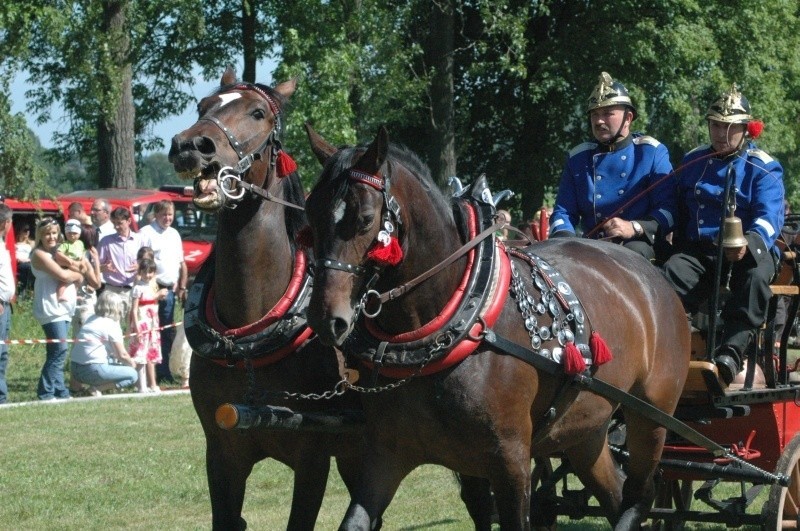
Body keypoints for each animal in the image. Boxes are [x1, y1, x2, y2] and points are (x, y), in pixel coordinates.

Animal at [167, 68, 364, 528]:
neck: (248, 341)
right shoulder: (222, 453)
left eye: (257, 113)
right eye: (203, 106)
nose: (191, 146)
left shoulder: (314, 459)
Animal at [304, 127, 692, 528]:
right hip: (587, 428)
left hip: (651, 417)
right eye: (309, 215)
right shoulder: (387, 455)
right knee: (614, 492)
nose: (325, 318)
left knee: (640, 494)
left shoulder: (511, 462)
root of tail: (650, 274)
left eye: (365, 218)